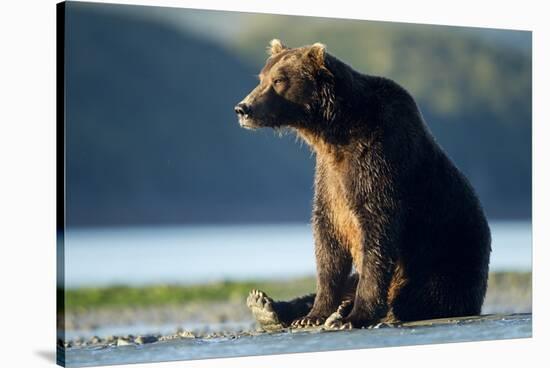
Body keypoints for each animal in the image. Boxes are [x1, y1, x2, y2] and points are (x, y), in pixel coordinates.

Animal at [235, 38, 494, 330]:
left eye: (279, 80)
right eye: (262, 77)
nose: (243, 108)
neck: (333, 133)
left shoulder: (378, 158)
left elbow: (376, 230)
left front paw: (355, 316)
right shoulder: (329, 177)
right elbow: (328, 241)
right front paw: (313, 315)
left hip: (449, 257)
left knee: (428, 291)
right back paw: (266, 306)